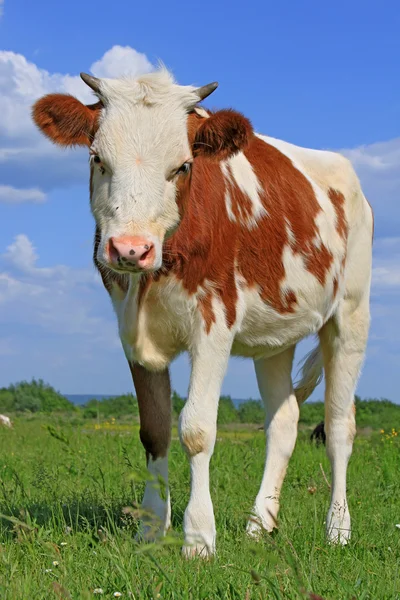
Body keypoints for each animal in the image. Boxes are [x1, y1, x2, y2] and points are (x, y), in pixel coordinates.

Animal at [32, 68, 374, 556]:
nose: (130, 249)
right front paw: (150, 529)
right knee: (284, 421)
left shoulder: (215, 322)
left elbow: (196, 429)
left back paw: (338, 529)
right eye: (98, 159)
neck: (154, 276)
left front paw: (198, 538)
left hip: (351, 315)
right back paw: (259, 523)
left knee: (339, 426)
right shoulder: (130, 330)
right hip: (276, 335)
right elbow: (154, 429)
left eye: (183, 166)